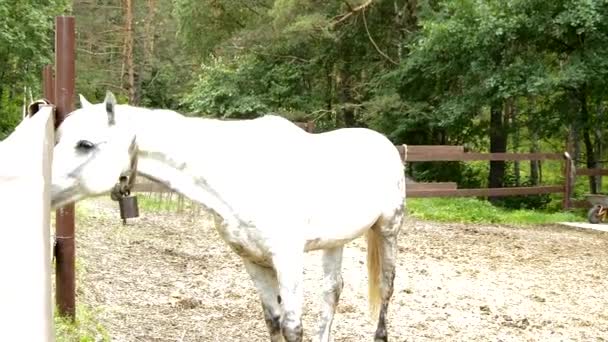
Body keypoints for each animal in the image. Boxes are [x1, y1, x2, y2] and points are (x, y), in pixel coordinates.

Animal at [50, 91, 406, 342]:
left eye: (85, 144)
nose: (45, 187)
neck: (241, 171)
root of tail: (387, 144)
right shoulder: (253, 260)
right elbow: (273, 322)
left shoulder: (287, 258)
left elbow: (292, 327)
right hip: (335, 241)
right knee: (332, 291)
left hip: (388, 230)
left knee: (386, 286)